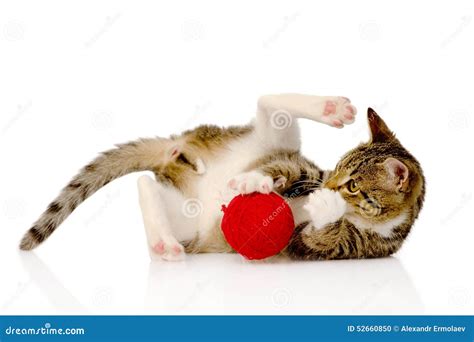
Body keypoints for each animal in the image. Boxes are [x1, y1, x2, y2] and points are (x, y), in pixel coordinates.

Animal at [19, 93, 426, 260]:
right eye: (338, 168)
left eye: (354, 184)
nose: (328, 187)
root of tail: (181, 145)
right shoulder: (304, 168)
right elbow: (288, 170)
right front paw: (259, 182)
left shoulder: (338, 247)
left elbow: (319, 234)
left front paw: (326, 205)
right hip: (269, 136)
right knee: (269, 102)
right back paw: (327, 107)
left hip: (187, 219)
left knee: (145, 185)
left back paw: (163, 242)